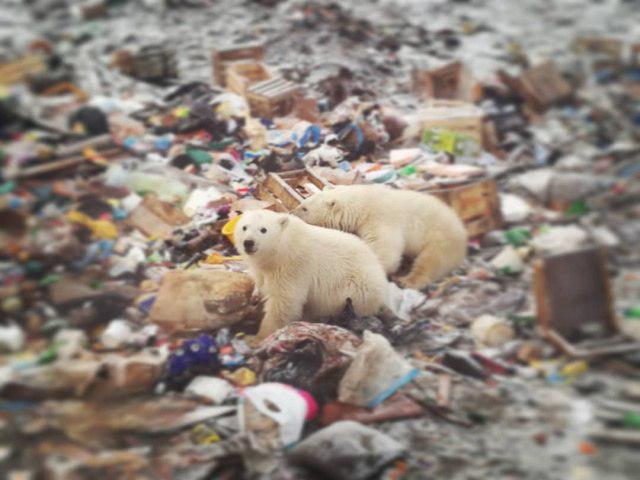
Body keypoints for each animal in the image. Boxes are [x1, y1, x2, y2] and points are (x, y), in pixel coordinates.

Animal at [232, 209, 388, 338]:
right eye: (244, 227)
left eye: (263, 229)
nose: (248, 242)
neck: (280, 250)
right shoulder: (265, 267)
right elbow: (260, 280)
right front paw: (255, 295)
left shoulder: (292, 268)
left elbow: (284, 304)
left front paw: (259, 336)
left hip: (351, 291)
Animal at [292, 184, 468, 288]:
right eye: (303, 203)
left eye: (305, 208)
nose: (291, 212)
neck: (363, 202)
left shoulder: (382, 217)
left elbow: (386, 250)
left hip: (440, 239)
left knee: (431, 261)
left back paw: (406, 281)